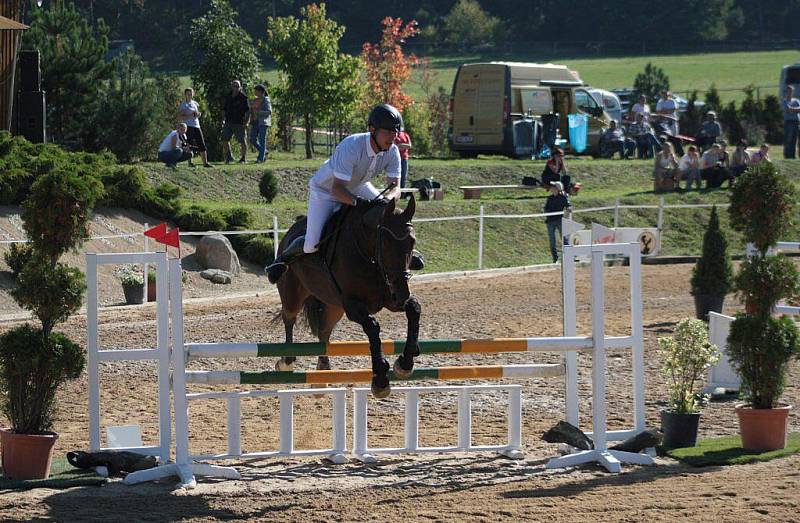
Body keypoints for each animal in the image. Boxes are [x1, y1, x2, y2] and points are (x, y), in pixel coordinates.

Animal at [274, 196, 418, 398]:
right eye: (386, 243)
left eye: (412, 241)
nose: (402, 293)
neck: (368, 254)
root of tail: (289, 234)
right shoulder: (353, 305)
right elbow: (372, 326)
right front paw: (380, 380)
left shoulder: (391, 297)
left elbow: (414, 308)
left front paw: (405, 363)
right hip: (292, 295)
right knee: (289, 319)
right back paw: (286, 362)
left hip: (334, 307)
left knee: (324, 333)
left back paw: (321, 376)